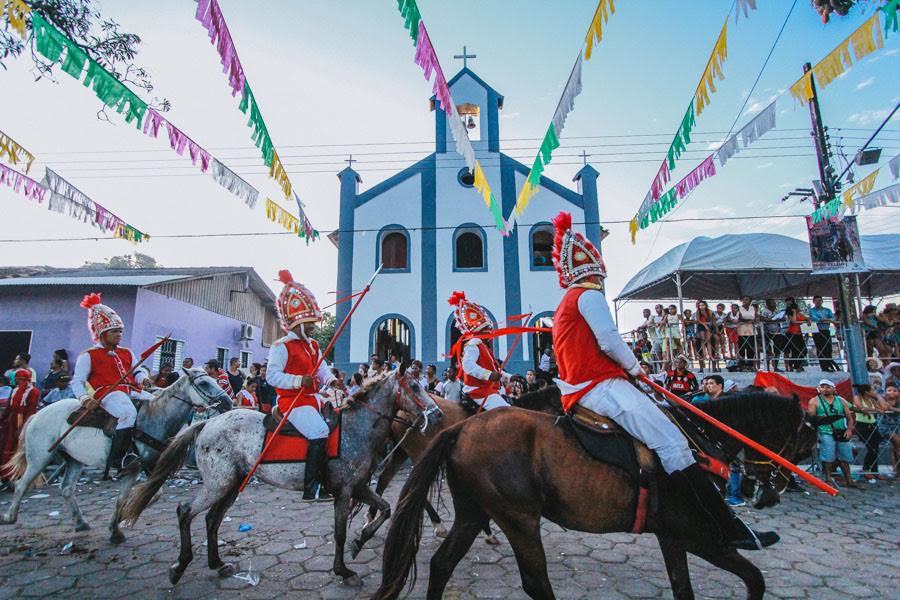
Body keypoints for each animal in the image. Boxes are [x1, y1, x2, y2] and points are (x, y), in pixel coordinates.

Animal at [0, 366, 230, 544]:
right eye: (205, 383)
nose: (227, 402)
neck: (155, 416)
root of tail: (37, 414)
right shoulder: (137, 465)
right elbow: (136, 496)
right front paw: (119, 523)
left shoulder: (145, 465)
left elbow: (134, 497)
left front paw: (116, 526)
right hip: (40, 456)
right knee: (22, 484)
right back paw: (10, 516)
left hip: (74, 459)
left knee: (66, 489)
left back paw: (80, 522)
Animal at [372, 392, 828, 600]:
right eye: (800, 442)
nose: (773, 494)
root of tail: (462, 427)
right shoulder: (701, 536)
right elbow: (754, 578)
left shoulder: (672, 537)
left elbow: (684, 588)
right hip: (519, 517)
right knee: (535, 582)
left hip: (473, 512)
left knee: (441, 563)